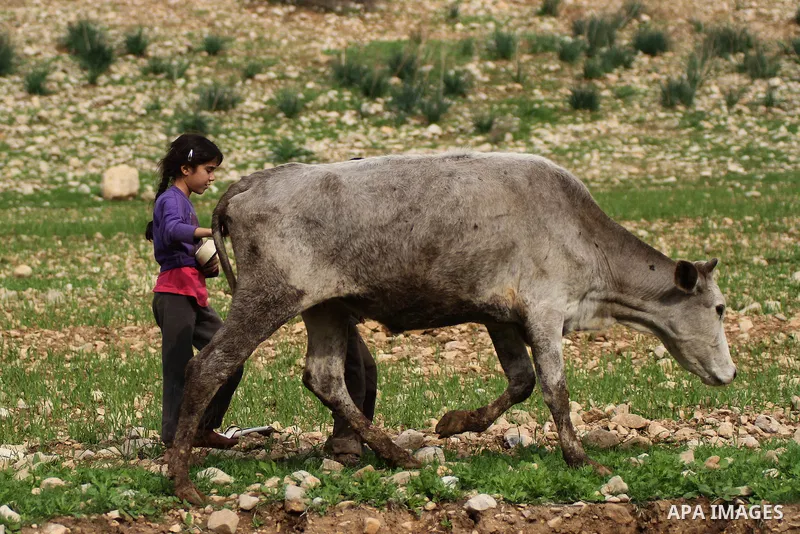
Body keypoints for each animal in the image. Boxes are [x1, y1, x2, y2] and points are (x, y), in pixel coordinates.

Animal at [167, 152, 735, 504]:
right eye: (721, 308)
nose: (730, 374)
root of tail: (251, 183)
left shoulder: (501, 315)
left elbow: (521, 381)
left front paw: (456, 423)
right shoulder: (544, 310)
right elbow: (555, 389)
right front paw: (581, 459)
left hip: (325, 308)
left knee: (324, 376)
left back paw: (396, 453)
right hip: (267, 297)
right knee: (209, 366)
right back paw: (182, 481)